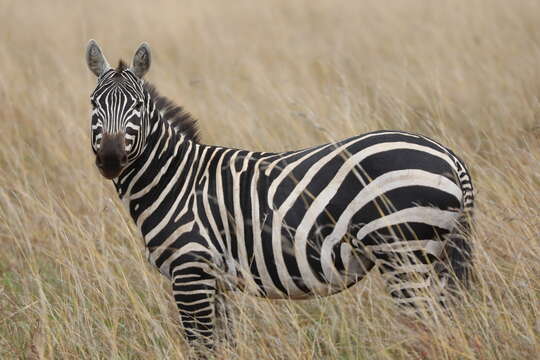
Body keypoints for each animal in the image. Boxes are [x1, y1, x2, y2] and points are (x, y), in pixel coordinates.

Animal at [84, 40, 472, 352]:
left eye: (138, 105)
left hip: (403, 252)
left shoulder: (191, 271)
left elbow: (202, 347)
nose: (111, 159)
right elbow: (223, 347)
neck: (174, 180)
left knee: (429, 330)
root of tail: (448, 154)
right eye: (93, 105)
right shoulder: (216, 282)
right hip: (436, 257)